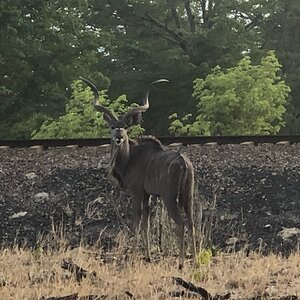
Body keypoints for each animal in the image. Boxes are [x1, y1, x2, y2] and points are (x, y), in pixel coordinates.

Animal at [79, 77, 197, 268]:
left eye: (125, 127)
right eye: (112, 127)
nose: (119, 137)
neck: (130, 158)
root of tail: (183, 163)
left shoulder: (137, 192)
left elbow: (136, 220)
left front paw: (133, 255)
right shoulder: (147, 195)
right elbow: (146, 223)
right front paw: (148, 256)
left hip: (170, 198)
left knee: (180, 224)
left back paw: (180, 262)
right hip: (187, 197)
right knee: (192, 222)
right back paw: (195, 261)